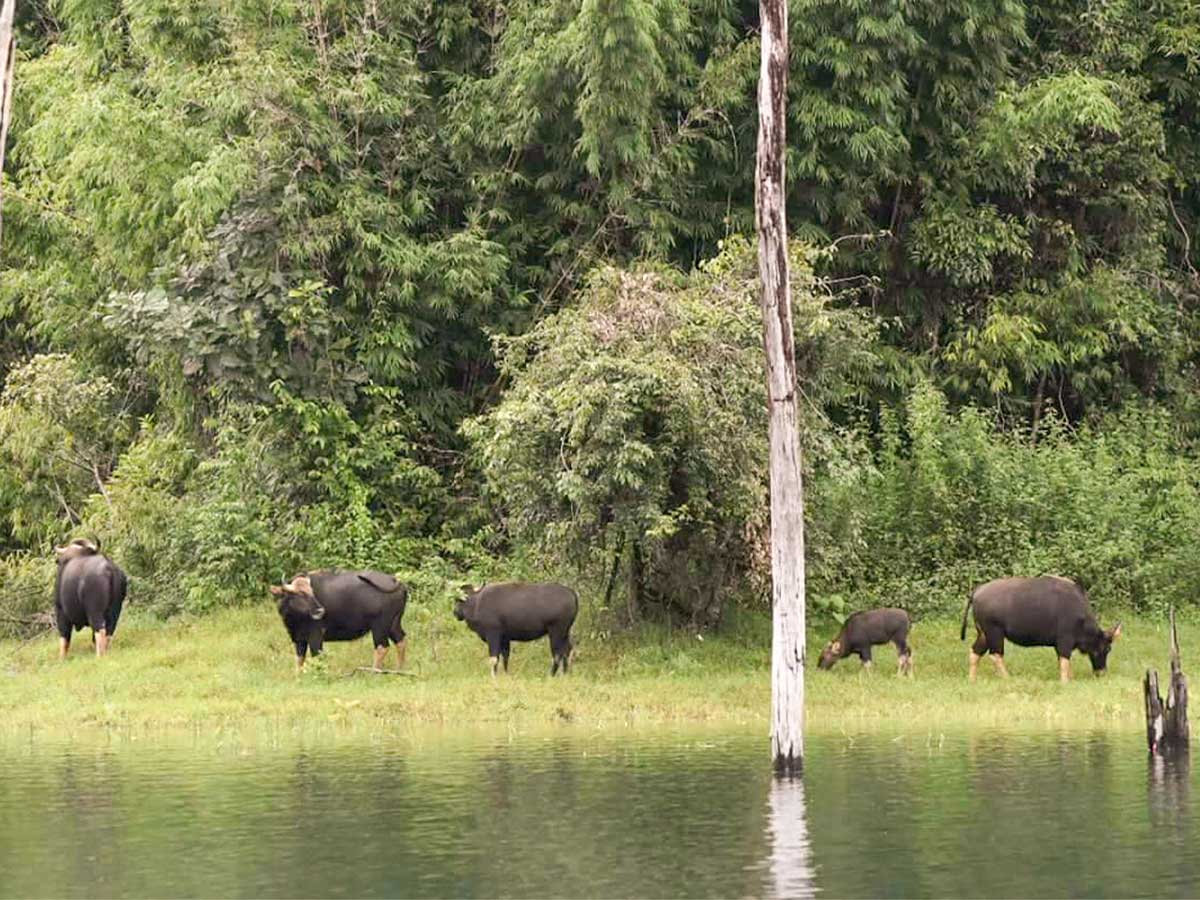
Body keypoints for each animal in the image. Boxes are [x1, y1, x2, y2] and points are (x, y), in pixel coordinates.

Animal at [271, 571, 410, 672]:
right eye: (299, 593)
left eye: (312, 592)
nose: (320, 610)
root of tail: (396, 582)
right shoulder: (299, 639)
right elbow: (299, 660)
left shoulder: (316, 636)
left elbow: (317, 656)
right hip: (393, 624)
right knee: (401, 640)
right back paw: (400, 670)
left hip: (379, 626)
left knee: (382, 647)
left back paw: (374, 672)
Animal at [960, 578, 1118, 681]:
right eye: (1106, 649)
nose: (1101, 673)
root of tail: (977, 591)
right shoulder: (1065, 640)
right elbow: (1065, 661)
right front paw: (1065, 682)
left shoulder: (1059, 644)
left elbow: (1064, 662)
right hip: (994, 632)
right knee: (996, 655)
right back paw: (1007, 678)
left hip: (983, 634)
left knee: (975, 652)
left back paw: (972, 680)